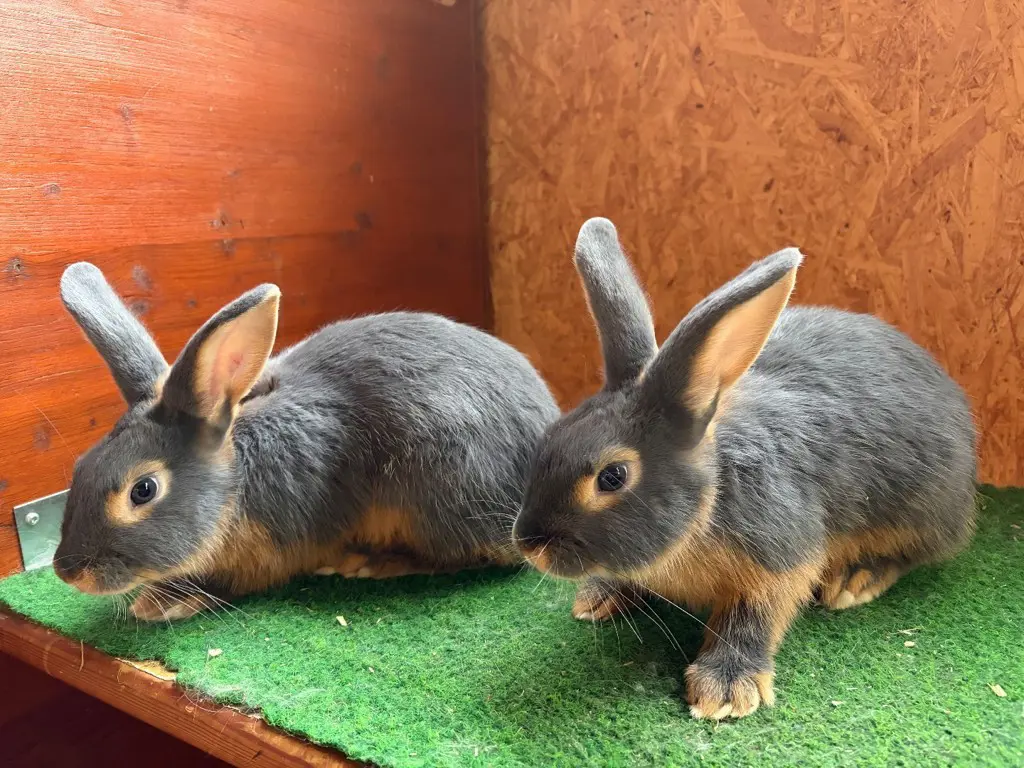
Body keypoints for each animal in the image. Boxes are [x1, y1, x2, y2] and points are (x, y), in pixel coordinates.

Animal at [53, 262, 560, 621]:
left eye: (143, 490)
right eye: (81, 466)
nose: (67, 572)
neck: (237, 483)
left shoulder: (273, 552)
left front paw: (160, 602)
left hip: (441, 491)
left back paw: (375, 562)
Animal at [512, 218, 977, 720]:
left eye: (612, 476)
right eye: (551, 437)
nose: (529, 545)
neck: (708, 499)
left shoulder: (779, 555)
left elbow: (753, 615)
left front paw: (725, 688)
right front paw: (599, 596)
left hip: (921, 508)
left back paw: (856, 578)